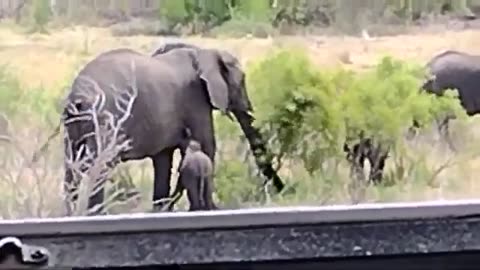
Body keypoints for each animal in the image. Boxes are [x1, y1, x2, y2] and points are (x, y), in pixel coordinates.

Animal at [61, 42, 284, 215]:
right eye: (242, 81)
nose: (281, 189)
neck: (202, 51)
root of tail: (78, 95)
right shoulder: (196, 100)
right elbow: (207, 147)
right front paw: (205, 209)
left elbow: (163, 159)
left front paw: (161, 209)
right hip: (106, 118)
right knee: (100, 165)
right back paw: (96, 214)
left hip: (73, 126)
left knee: (72, 166)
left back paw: (72, 214)